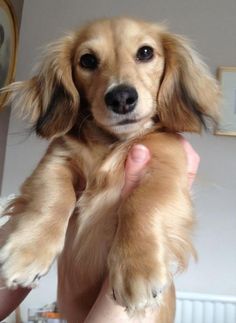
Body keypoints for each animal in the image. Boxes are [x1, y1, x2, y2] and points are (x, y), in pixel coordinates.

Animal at [0, 18, 220, 323]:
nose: (121, 98)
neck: (112, 143)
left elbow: (143, 202)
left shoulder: (166, 166)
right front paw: (28, 250)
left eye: (145, 52)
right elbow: (53, 196)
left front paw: (138, 268)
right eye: (88, 60)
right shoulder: (57, 159)